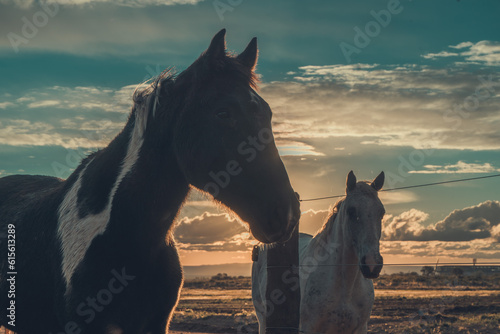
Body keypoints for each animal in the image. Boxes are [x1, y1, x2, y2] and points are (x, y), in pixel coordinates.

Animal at [252, 171, 384, 332]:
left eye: (381, 212)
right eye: (351, 211)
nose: (372, 264)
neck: (345, 287)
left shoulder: (360, 328)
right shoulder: (309, 328)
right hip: (262, 318)